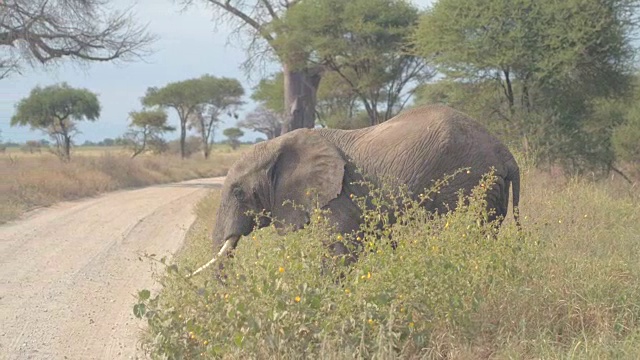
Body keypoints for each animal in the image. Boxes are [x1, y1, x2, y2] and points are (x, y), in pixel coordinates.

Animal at [190, 105, 520, 278]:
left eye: (238, 193)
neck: (280, 144)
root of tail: (505, 152)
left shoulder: (340, 196)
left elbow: (340, 251)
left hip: (470, 182)